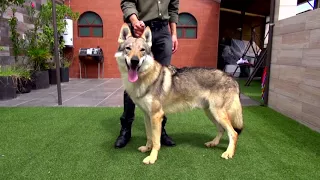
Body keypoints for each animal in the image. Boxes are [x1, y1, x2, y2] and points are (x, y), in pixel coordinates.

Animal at [114, 23, 242, 165]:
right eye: (128, 48)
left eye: (142, 50)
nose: (135, 60)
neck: (144, 79)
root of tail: (232, 78)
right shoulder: (147, 115)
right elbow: (149, 136)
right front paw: (147, 148)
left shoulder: (156, 115)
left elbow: (156, 141)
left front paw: (152, 157)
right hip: (211, 113)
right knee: (221, 129)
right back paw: (213, 143)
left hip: (218, 113)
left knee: (233, 133)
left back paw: (228, 153)